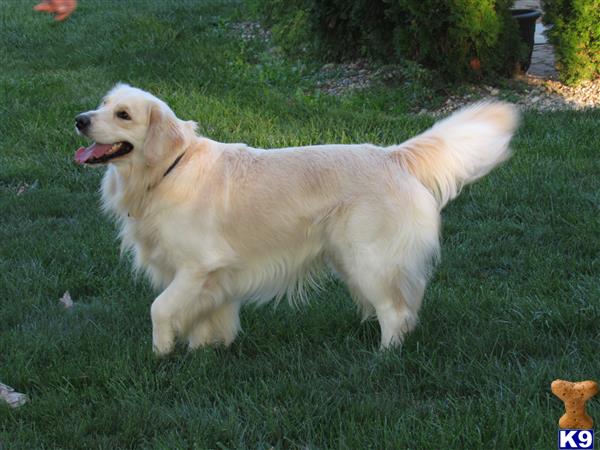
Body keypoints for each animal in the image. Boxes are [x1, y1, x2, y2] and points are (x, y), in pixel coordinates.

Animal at [74, 82, 516, 354]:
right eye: (102, 104)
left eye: (124, 115)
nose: (80, 119)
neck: (166, 171)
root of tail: (392, 154)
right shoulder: (207, 279)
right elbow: (203, 319)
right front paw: (205, 350)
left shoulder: (199, 266)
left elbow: (160, 309)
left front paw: (161, 355)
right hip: (350, 259)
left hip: (368, 259)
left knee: (396, 311)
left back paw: (382, 358)